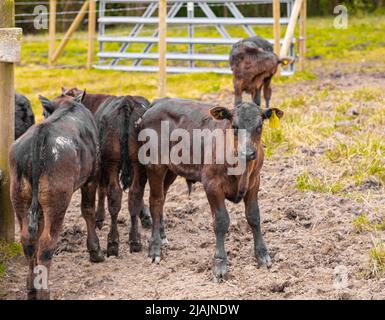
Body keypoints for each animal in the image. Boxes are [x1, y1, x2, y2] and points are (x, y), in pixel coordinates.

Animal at [9, 94, 103, 298]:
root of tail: (40, 134)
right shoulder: (92, 178)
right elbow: (88, 210)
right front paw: (96, 251)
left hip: (19, 196)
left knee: (28, 239)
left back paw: (31, 287)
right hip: (58, 201)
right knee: (46, 243)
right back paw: (44, 291)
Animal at [132, 97, 282, 280]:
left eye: (259, 126)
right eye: (234, 126)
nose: (247, 152)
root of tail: (156, 104)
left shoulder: (254, 182)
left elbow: (253, 216)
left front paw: (262, 255)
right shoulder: (211, 185)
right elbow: (221, 221)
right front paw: (220, 264)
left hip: (170, 170)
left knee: (162, 198)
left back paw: (162, 237)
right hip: (153, 165)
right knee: (154, 201)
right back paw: (155, 249)